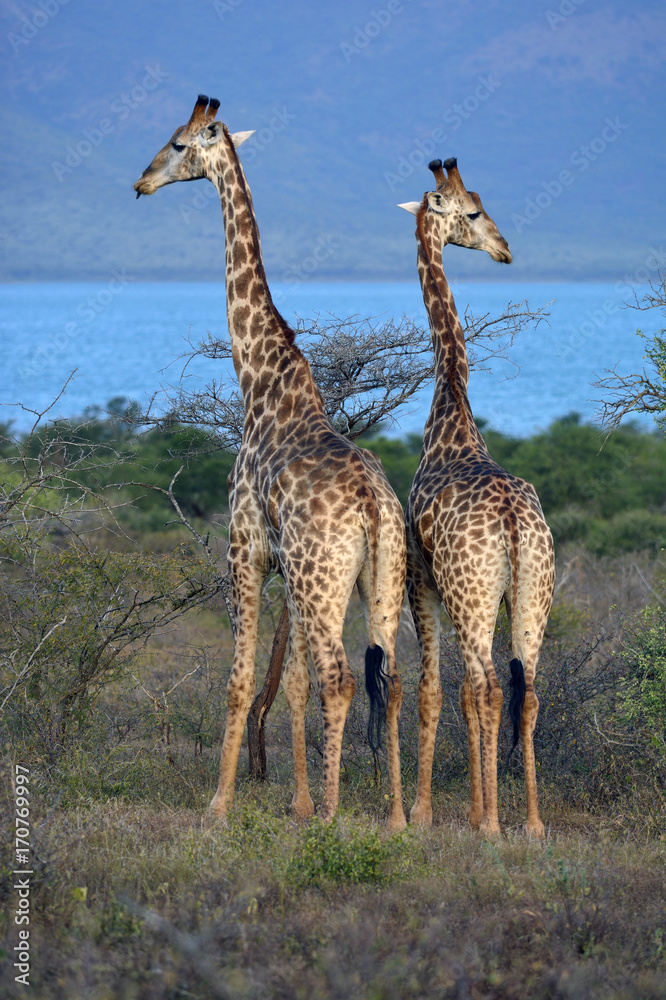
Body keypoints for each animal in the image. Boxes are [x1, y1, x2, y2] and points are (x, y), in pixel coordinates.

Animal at [134, 96, 407, 828]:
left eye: (177, 145)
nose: (140, 183)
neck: (259, 380)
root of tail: (373, 506)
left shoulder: (246, 548)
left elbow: (240, 680)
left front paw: (220, 804)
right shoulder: (286, 568)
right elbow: (291, 685)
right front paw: (298, 802)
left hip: (323, 575)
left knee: (342, 678)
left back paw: (340, 815)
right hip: (378, 578)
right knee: (391, 679)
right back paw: (400, 815)